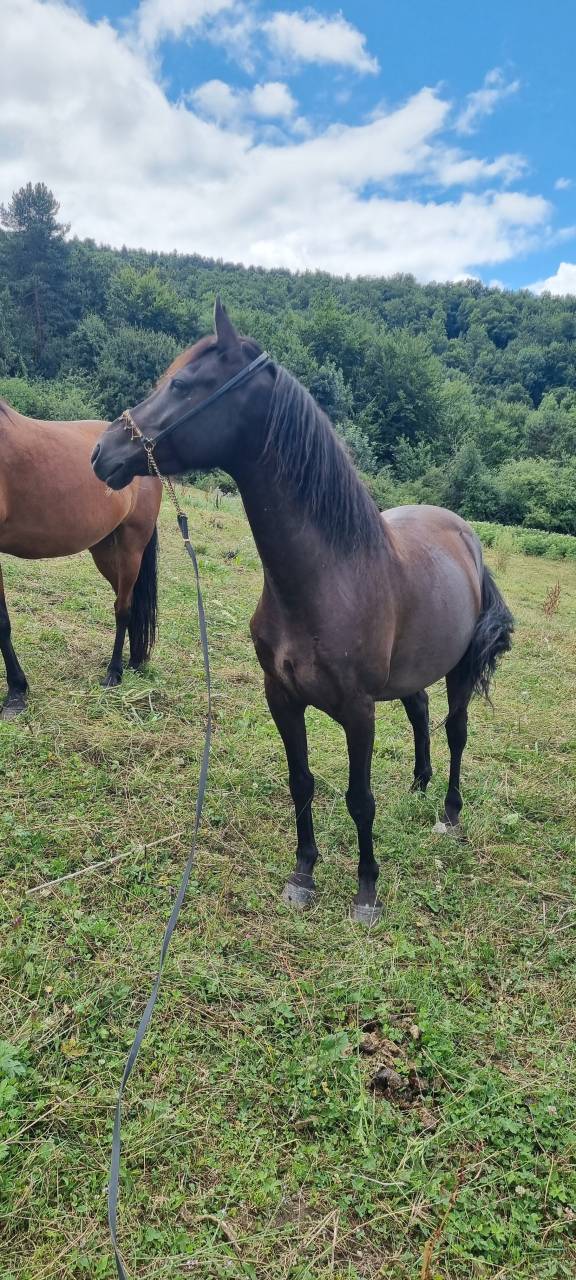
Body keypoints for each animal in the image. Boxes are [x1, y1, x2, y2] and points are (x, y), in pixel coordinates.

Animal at [0, 400, 162, 719]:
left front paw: (16, 693)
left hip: (132, 546)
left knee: (123, 608)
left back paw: (114, 673)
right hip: (106, 552)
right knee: (128, 600)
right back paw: (135, 659)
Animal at [91, 299, 513, 923]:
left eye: (183, 385)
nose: (103, 453)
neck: (327, 579)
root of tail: (465, 535)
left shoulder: (359, 712)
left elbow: (360, 799)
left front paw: (366, 891)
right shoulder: (282, 698)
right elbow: (301, 781)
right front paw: (304, 874)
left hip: (459, 670)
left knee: (456, 730)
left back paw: (448, 814)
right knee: (418, 713)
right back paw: (418, 785)